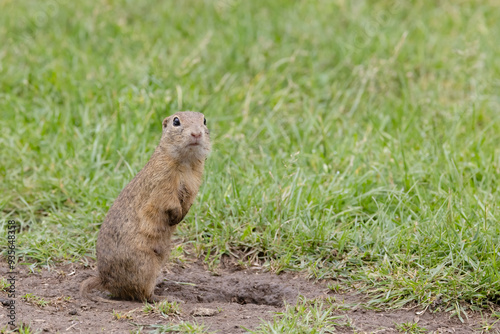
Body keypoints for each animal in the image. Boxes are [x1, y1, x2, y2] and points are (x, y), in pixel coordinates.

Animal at [81, 111, 210, 302]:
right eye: (176, 121)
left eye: (204, 120)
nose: (196, 134)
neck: (186, 162)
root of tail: (105, 281)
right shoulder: (162, 184)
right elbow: (168, 201)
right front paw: (175, 216)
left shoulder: (194, 185)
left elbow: (188, 202)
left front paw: (180, 216)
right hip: (145, 264)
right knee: (144, 295)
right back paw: (166, 298)